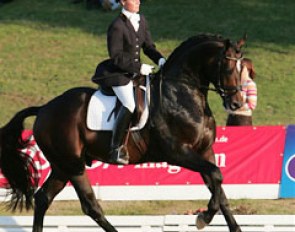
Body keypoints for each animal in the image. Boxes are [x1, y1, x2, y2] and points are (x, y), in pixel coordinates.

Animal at [0, 34, 245, 232]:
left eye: (243, 69)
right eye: (228, 68)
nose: (236, 103)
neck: (180, 93)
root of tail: (44, 109)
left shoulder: (205, 151)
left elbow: (219, 188)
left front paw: (230, 225)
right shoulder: (178, 153)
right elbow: (216, 175)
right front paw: (204, 218)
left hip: (62, 166)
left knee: (44, 198)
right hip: (72, 164)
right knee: (89, 205)